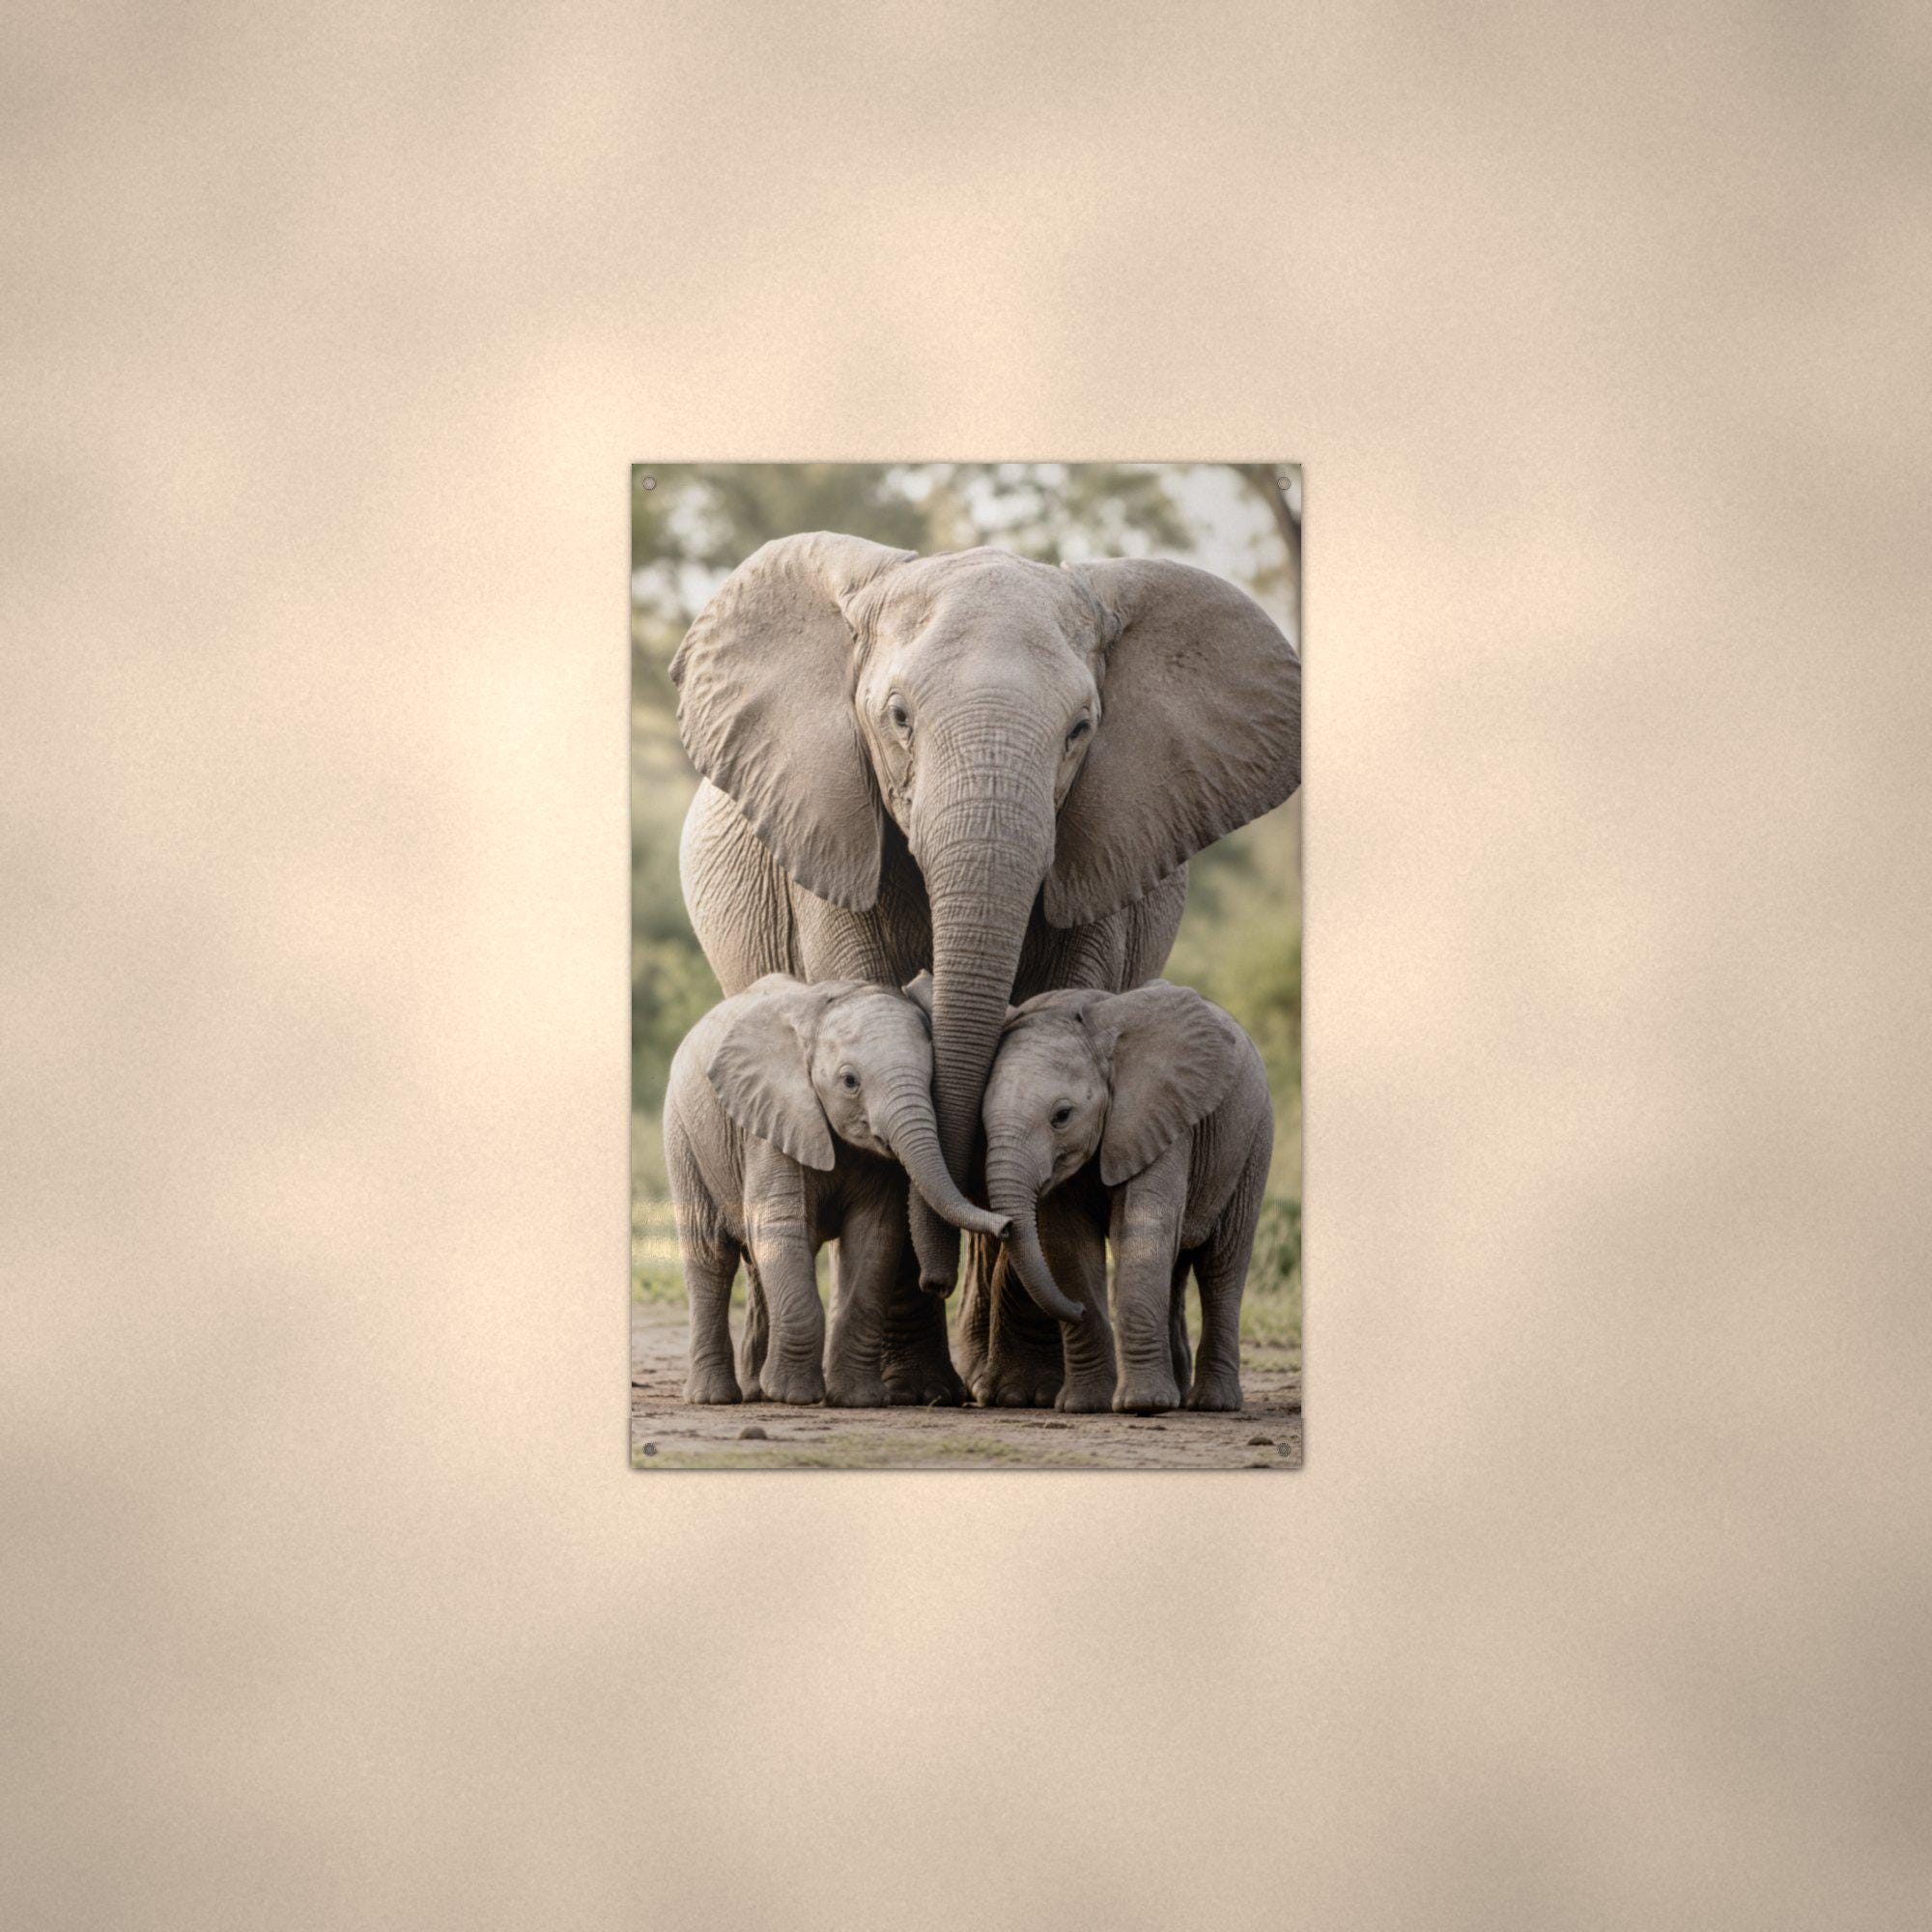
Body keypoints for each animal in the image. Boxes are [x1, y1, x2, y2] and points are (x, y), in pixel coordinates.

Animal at [662, 974, 1007, 1407]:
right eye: (849, 1082)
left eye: (932, 1079)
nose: (1007, 1225)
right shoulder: (773, 1122)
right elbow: (781, 1227)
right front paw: (793, 1396)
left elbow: (874, 1239)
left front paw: (859, 1400)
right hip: (684, 1136)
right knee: (711, 1256)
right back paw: (714, 1398)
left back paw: (757, 1391)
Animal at [979, 982, 1274, 1415]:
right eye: (981, 1121)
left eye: (1062, 1116)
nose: (1078, 1309)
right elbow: (1068, 1245)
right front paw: (1085, 1405)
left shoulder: (1161, 1118)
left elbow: (1140, 1231)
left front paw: (1143, 1403)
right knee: (1177, 1266)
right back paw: (1179, 1395)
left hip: (1253, 1141)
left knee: (1221, 1266)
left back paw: (1211, 1403)